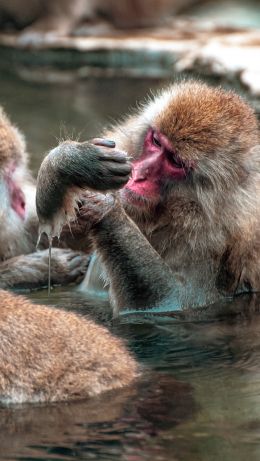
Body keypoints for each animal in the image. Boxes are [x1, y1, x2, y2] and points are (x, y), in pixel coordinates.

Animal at [35, 81, 260, 314]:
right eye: (156, 141)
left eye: (175, 161)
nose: (138, 173)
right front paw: (70, 161)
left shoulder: (215, 244)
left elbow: (172, 300)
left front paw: (106, 208)